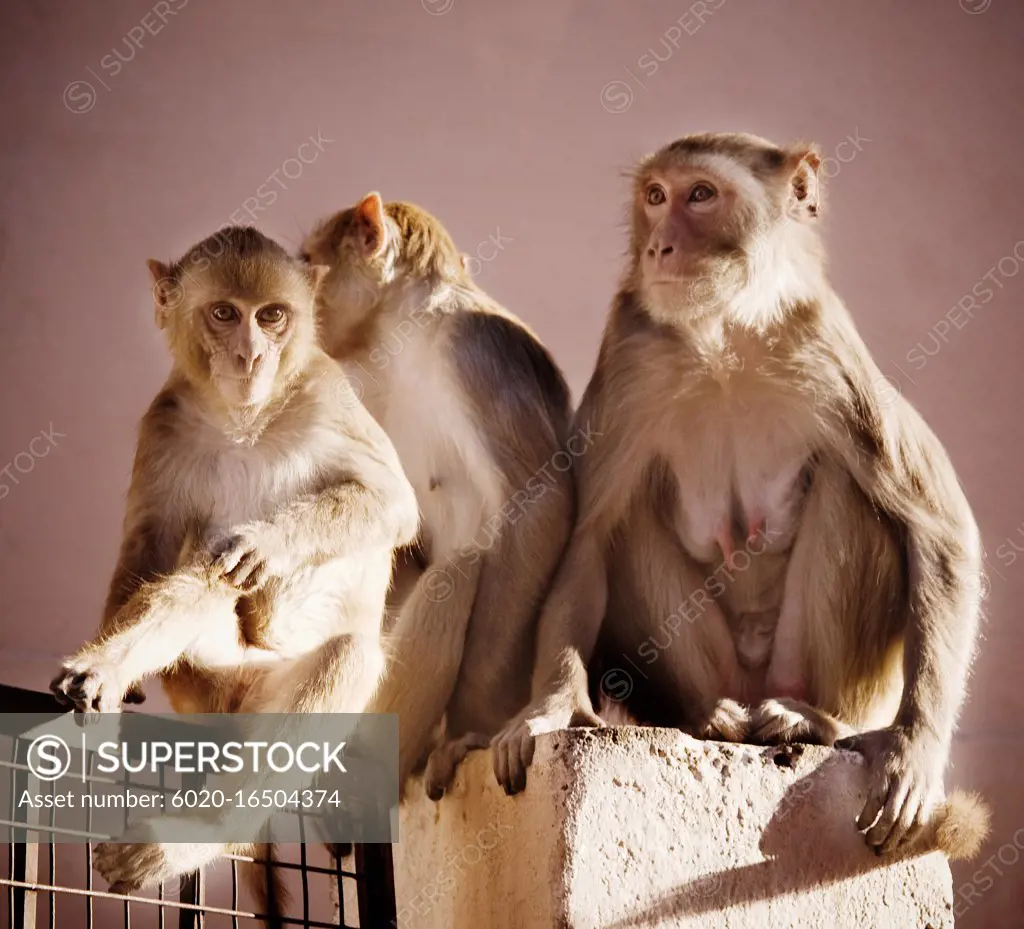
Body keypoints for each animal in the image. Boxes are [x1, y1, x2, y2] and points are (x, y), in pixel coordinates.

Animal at [495, 129, 991, 856]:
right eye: (655, 197)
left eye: (700, 194)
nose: (658, 246)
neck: (724, 335)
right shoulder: (631, 357)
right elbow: (589, 535)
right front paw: (551, 707)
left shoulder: (828, 352)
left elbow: (938, 527)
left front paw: (915, 749)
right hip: (714, 669)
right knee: (629, 524)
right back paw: (711, 718)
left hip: (824, 674)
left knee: (850, 489)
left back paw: (814, 720)